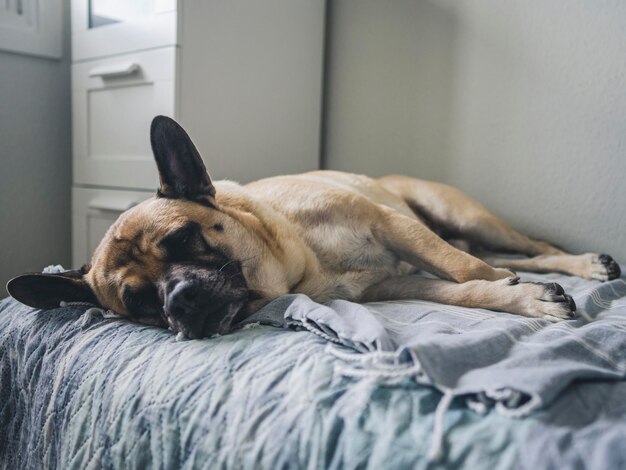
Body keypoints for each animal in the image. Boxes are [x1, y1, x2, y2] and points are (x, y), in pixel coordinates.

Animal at [6, 116, 620, 340]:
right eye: (137, 304)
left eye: (183, 238)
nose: (178, 300)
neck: (301, 263)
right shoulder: (394, 284)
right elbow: (467, 290)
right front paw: (520, 299)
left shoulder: (391, 224)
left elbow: (467, 270)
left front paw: (525, 295)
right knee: (515, 257)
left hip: (461, 216)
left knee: (527, 246)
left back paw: (584, 263)